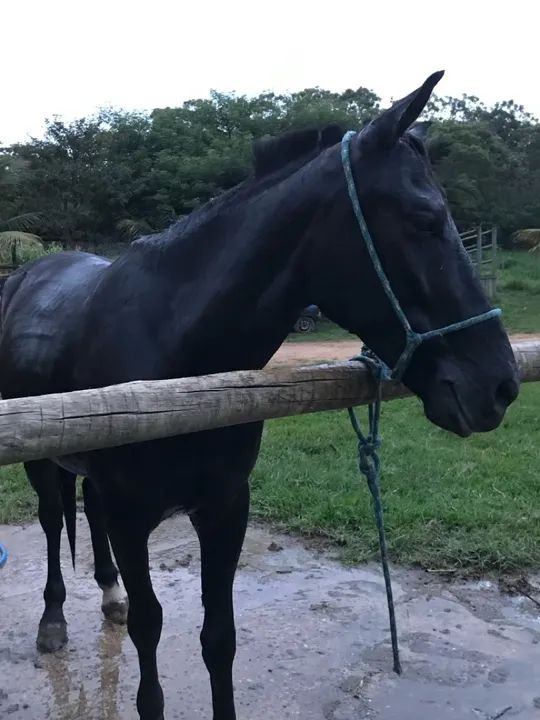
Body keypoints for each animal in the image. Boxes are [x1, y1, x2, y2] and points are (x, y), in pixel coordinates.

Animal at [0, 71, 519, 720]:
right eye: (425, 218)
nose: (501, 384)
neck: (181, 368)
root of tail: (27, 274)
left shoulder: (226, 507)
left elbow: (219, 637)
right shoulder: (133, 516)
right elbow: (150, 630)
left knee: (86, 514)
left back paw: (108, 593)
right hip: (43, 461)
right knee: (52, 524)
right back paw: (53, 621)